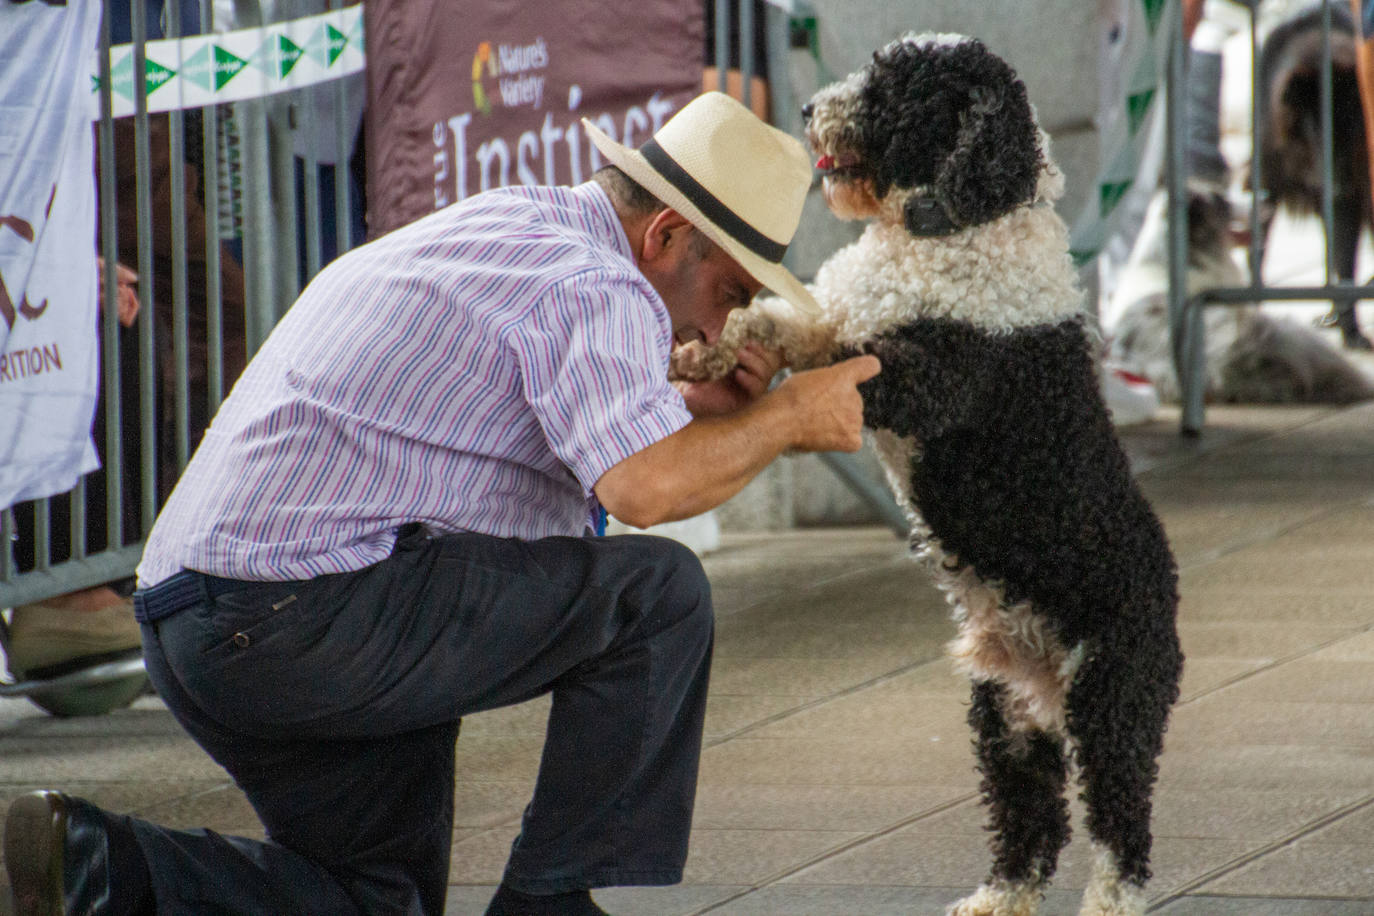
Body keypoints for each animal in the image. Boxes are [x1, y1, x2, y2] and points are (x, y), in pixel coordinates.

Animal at [673, 32, 1181, 911]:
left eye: (893, 91)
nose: (805, 107)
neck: (956, 221)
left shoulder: (925, 377)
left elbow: (840, 366)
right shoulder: (836, 314)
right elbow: (783, 324)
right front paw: (707, 349)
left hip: (1112, 701)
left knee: (1121, 827)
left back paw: (1109, 899)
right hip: (1006, 717)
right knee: (1028, 821)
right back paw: (999, 898)